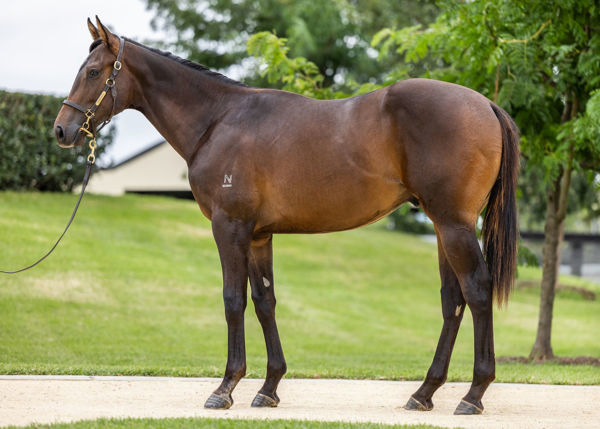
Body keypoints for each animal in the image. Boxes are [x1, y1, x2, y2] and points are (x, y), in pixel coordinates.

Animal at [54, 17, 516, 414]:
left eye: (93, 72)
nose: (61, 130)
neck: (219, 120)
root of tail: (487, 105)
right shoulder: (259, 235)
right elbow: (265, 301)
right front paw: (269, 387)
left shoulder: (229, 227)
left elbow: (233, 300)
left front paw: (225, 388)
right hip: (442, 227)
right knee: (452, 301)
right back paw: (424, 393)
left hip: (454, 225)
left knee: (477, 291)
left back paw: (473, 394)